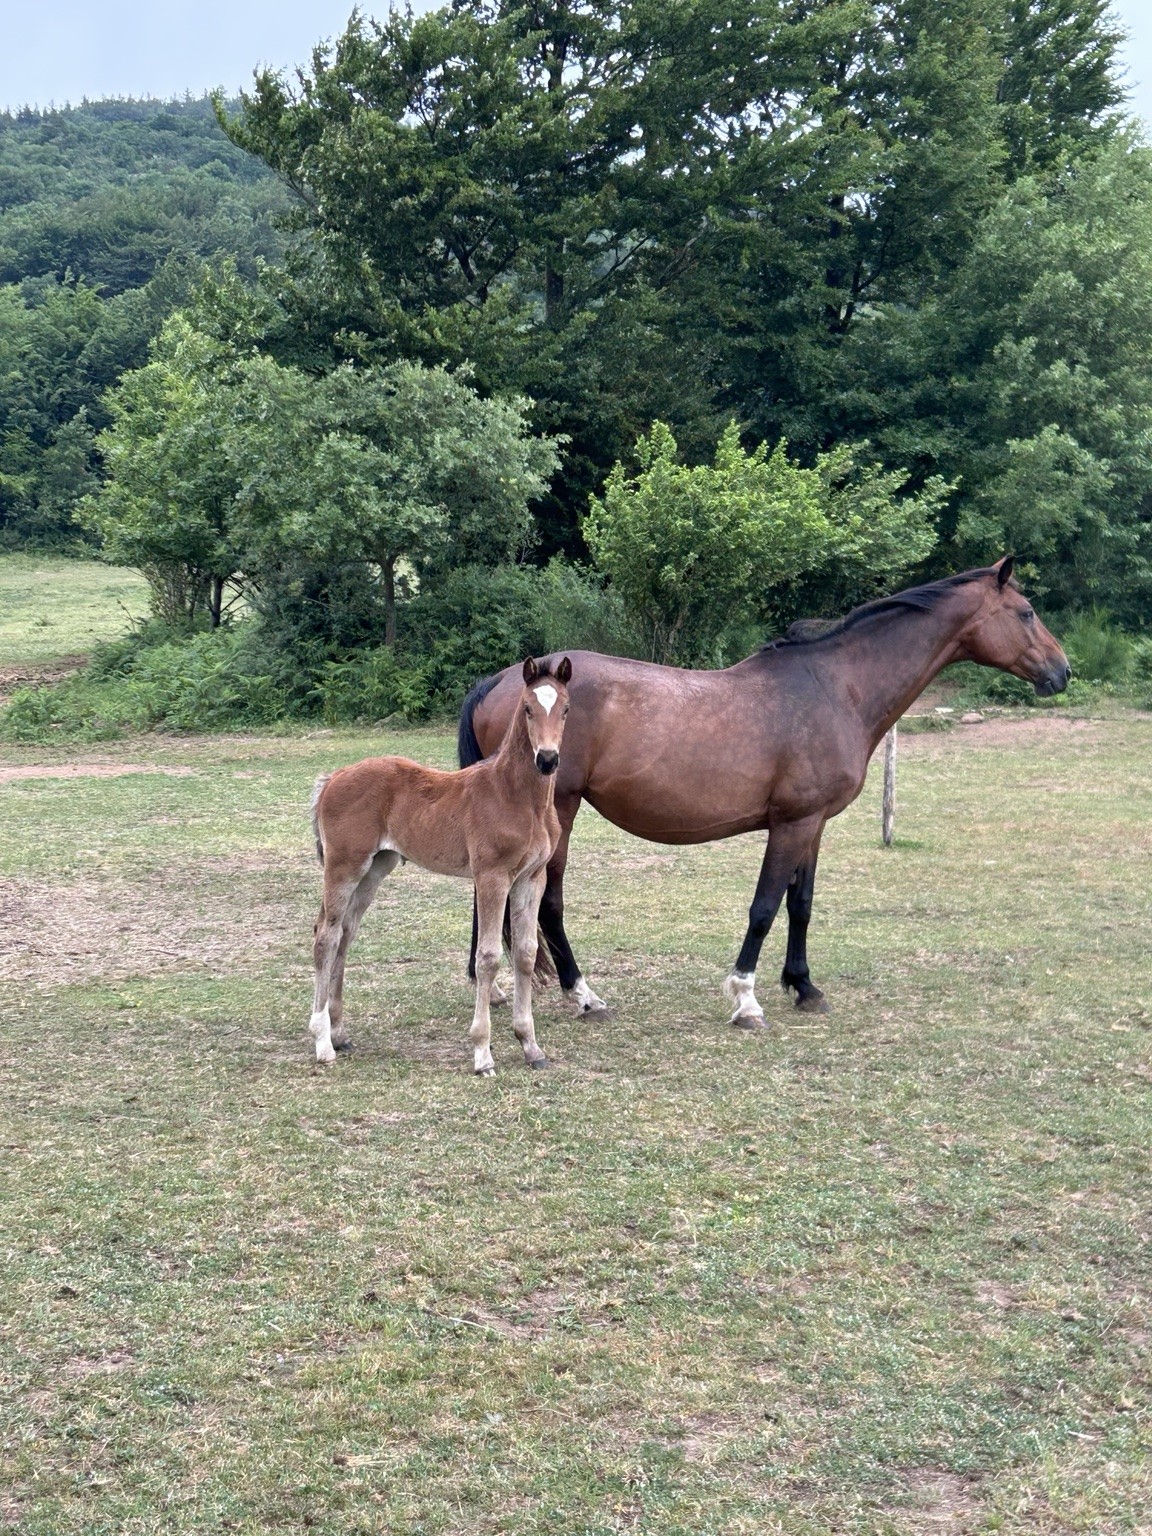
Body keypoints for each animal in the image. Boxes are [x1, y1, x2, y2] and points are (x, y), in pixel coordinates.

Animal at [310, 656, 572, 1074]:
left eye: (564, 708)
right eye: (528, 709)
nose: (547, 759)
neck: (516, 796)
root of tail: (333, 777)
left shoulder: (531, 878)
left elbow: (526, 953)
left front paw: (531, 1047)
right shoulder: (492, 877)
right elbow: (488, 958)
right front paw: (482, 1054)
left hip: (375, 868)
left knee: (345, 934)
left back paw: (339, 1033)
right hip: (343, 866)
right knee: (326, 937)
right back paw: (322, 1042)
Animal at [458, 559, 1069, 1029]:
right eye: (1027, 612)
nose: (1062, 672)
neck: (836, 688)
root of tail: (503, 681)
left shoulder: (813, 823)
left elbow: (801, 904)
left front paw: (804, 986)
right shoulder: (791, 823)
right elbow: (765, 907)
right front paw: (746, 997)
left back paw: (496, 989)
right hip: (558, 810)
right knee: (548, 904)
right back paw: (582, 994)